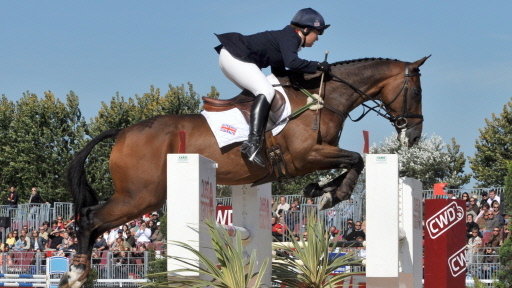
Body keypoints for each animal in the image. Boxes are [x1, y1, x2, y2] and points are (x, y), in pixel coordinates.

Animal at [60, 56, 428, 288]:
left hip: (141, 198)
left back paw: (77, 272)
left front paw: (319, 192)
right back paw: (76, 273)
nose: (413, 135)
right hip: (140, 196)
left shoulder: (316, 156)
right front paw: (330, 194)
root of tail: (122, 132)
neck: (322, 99)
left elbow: (353, 160)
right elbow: (356, 159)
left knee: (93, 222)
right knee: (90, 218)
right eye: (417, 92)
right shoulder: (307, 155)